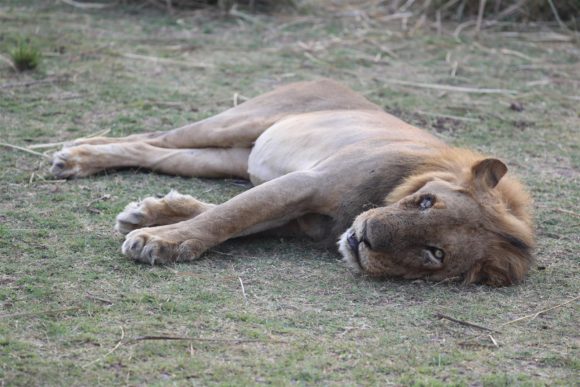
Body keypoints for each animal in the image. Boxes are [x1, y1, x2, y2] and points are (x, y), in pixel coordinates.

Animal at [49, 79, 536, 284]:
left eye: (435, 254)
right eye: (426, 202)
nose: (365, 237)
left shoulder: (298, 218)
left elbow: (228, 215)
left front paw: (150, 217)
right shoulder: (307, 181)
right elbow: (230, 214)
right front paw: (158, 240)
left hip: (226, 158)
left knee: (156, 153)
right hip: (237, 122)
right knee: (153, 136)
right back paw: (75, 156)